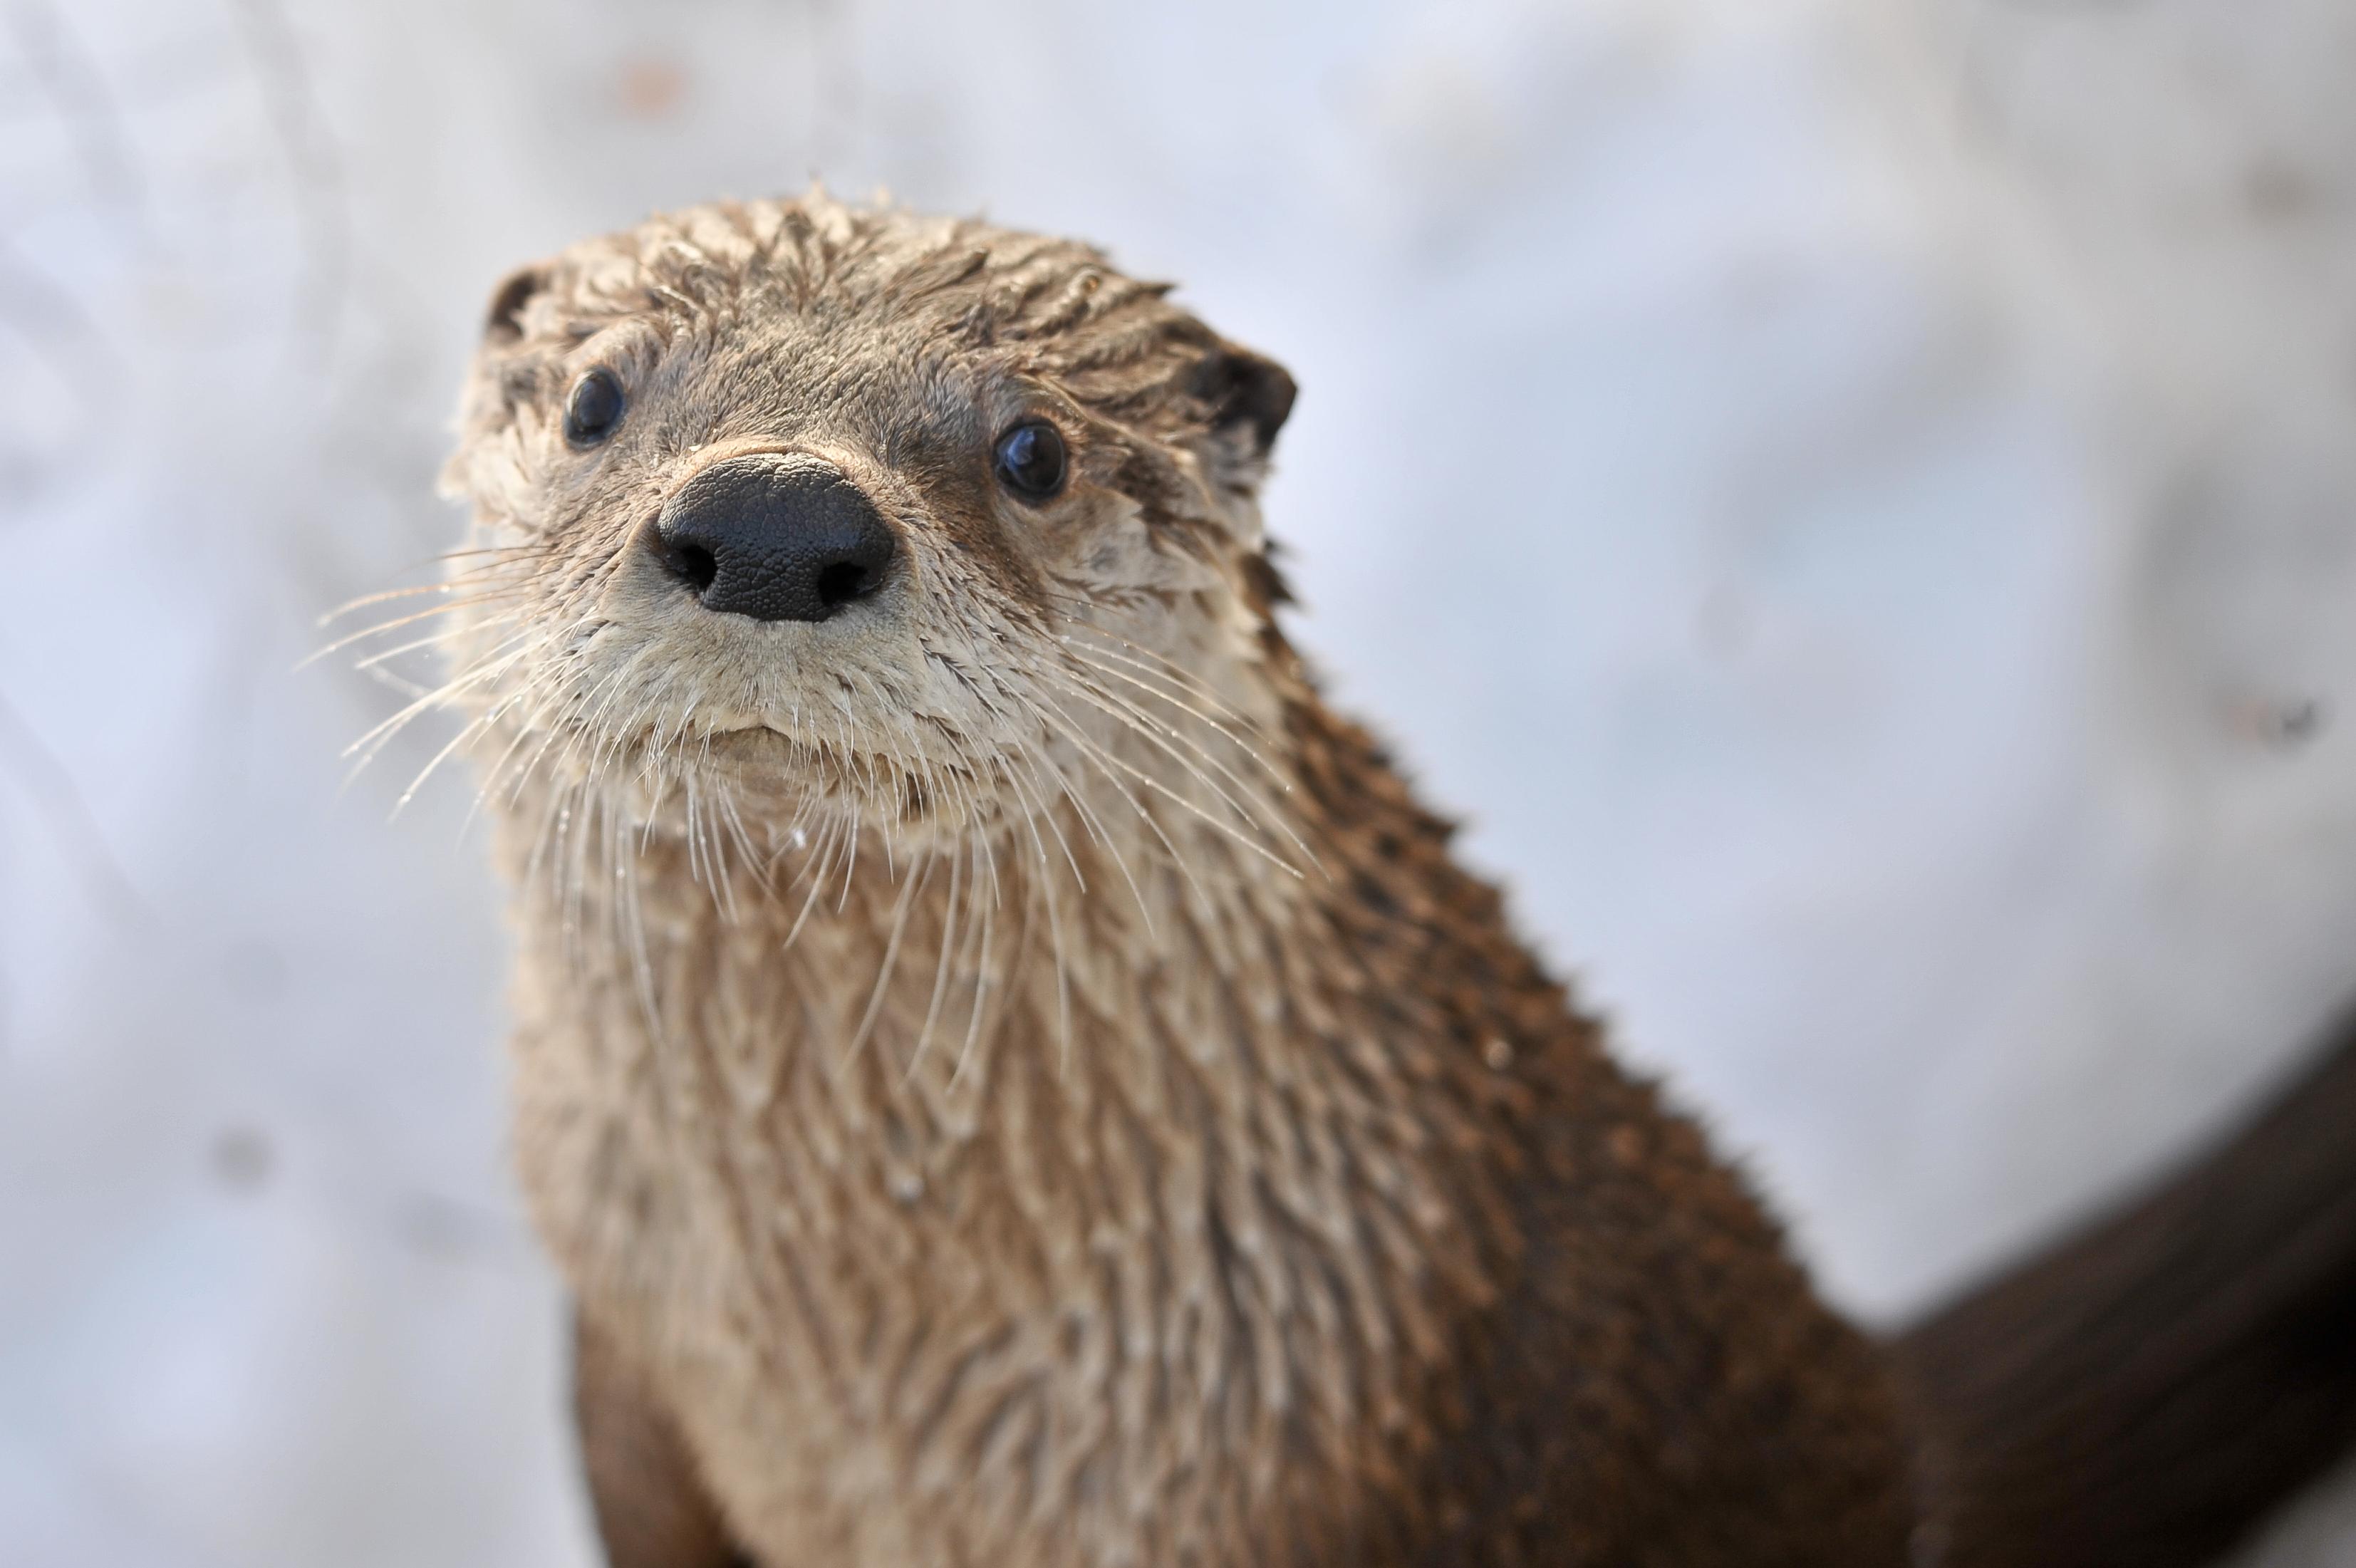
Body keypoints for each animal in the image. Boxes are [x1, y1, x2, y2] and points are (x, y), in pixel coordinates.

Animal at [402, 193, 2356, 1567]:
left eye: (1033, 448)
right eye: (596, 395)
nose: (778, 521)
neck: (855, 1360)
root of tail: (1893, 1433)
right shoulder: (626, 1349)